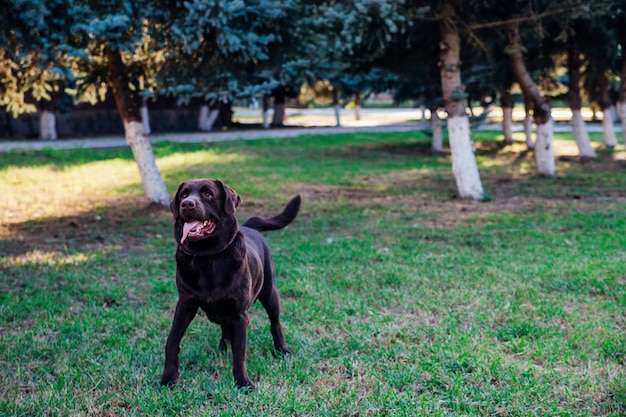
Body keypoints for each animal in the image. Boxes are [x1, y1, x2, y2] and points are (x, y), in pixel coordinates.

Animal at [160, 180, 298, 390]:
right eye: (183, 195)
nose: (187, 204)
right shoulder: (185, 304)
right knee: (225, 328)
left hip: (270, 293)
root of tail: (250, 226)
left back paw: (282, 349)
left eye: (207, 194)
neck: (207, 257)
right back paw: (222, 348)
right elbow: (172, 340)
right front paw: (168, 377)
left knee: (275, 323)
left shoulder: (240, 315)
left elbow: (240, 353)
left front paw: (243, 383)